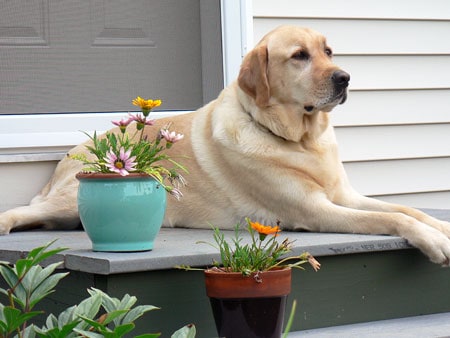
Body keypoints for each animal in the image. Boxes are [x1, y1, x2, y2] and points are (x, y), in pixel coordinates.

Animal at [0, 25, 450, 266]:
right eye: (299, 56)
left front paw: (441, 228)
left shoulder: (345, 196)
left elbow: (408, 210)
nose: (345, 78)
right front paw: (434, 241)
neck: (300, 141)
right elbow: (393, 221)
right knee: (21, 210)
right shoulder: (315, 211)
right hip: (72, 197)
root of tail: (73, 151)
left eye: (328, 51)